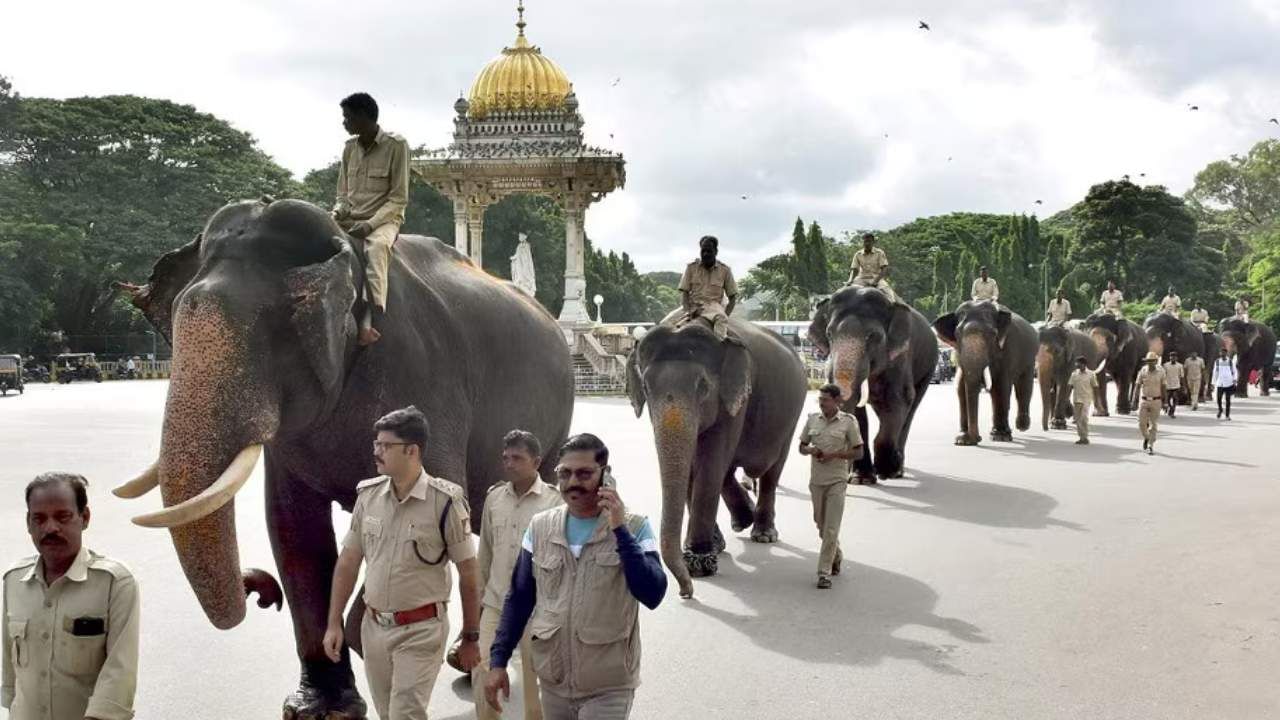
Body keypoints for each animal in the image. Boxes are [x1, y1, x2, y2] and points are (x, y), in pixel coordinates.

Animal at [115, 197, 576, 717]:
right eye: (174, 323)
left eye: (275, 328)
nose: (262, 590)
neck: (351, 252)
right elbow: (292, 528)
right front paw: (318, 707)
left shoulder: (426, 383)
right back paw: (466, 657)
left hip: (556, 427)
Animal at [624, 317, 803, 594]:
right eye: (645, 386)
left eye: (703, 386)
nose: (685, 591)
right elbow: (696, 463)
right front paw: (711, 549)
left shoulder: (736, 397)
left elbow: (711, 462)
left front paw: (699, 565)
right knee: (730, 471)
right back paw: (742, 521)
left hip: (792, 416)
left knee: (772, 471)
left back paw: (763, 534)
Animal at [808, 286, 942, 481]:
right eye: (829, 334)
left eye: (872, 336)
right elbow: (859, 414)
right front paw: (860, 478)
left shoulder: (900, 358)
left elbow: (897, 402)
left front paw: (885, 471)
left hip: (928, 367)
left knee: (910, 409)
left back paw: (897, 469)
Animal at [931, 297, 1039, 443]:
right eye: (957, 334)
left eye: (992, 334)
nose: (977, 438)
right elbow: (961, 387)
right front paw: (962, 440)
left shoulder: (1007, 349)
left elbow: (1000, 386)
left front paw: (1000, 437)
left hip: (1029, 358)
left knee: (1023, 387)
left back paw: (1021, 426)